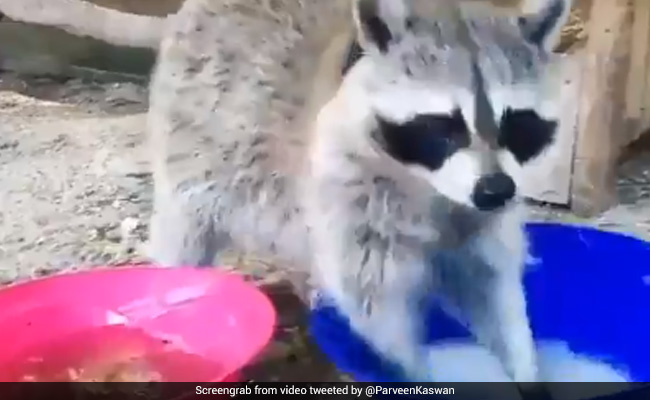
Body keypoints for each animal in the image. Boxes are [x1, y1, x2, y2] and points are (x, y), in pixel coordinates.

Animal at [146, 0, 570, 386]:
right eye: (443, 126)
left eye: (515, 123)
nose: (495, 190)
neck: (429, 187)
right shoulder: (347, 187)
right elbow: (376, 301)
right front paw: (416, 371)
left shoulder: (479, 215)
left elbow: (488, 282)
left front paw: (524, 370)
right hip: (193, 144)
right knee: (185, 234)